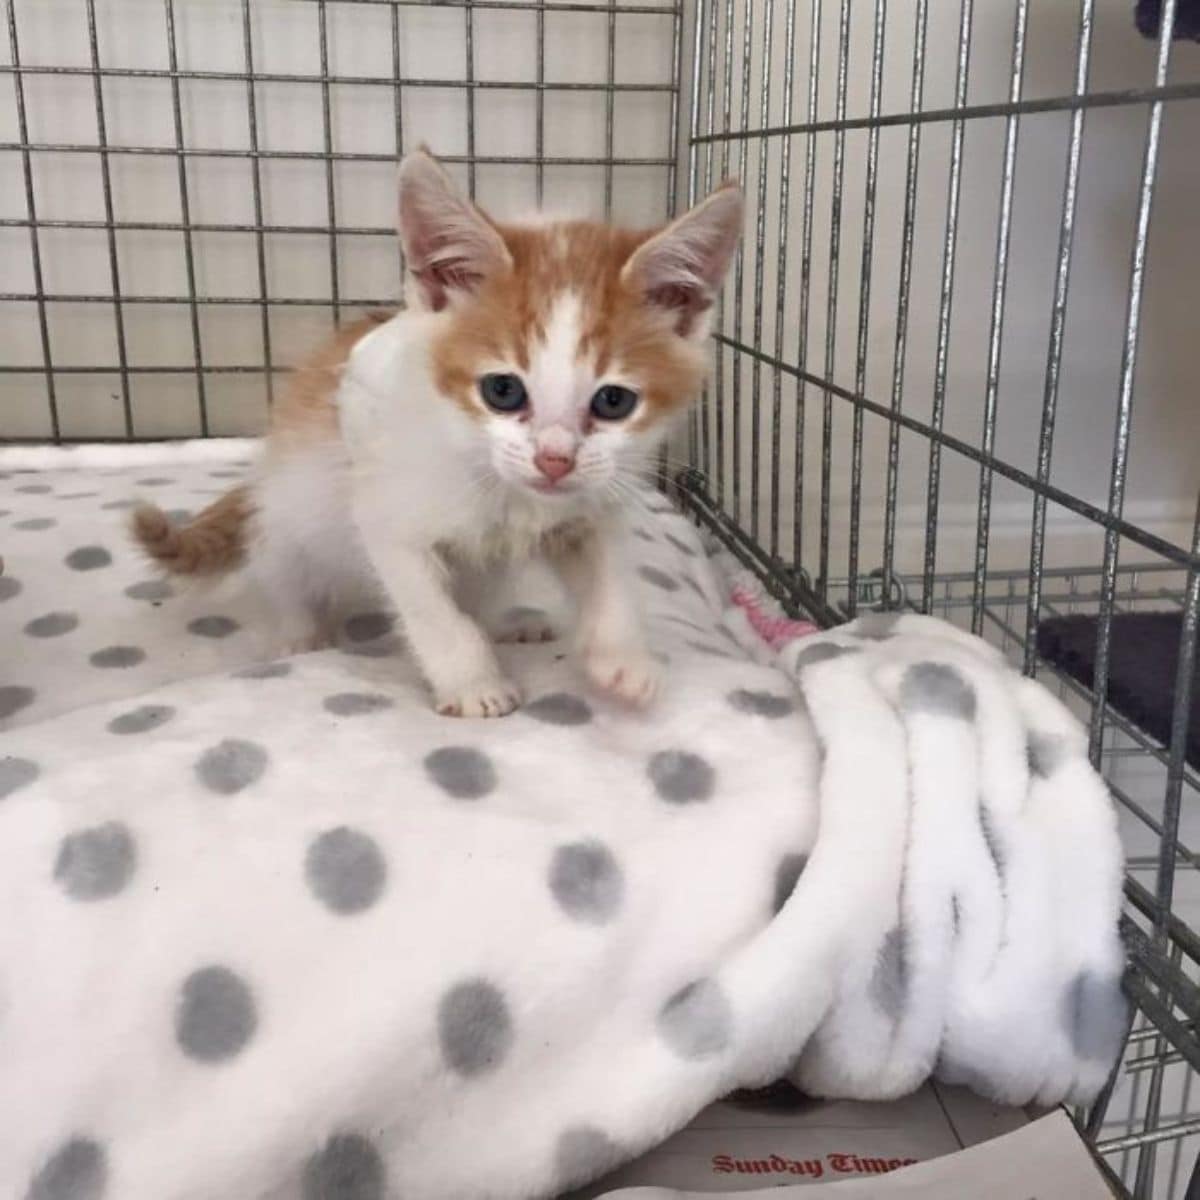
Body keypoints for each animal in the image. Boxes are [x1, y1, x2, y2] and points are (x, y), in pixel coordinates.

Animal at [131, 147, 739, 710]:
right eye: (502, 391)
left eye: (614, 401)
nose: (554, 459)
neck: (508, 492)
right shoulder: (387, 514)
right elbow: (435, 613)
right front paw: (474, 684)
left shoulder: (586, 507)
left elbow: (610, 579)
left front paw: (623, 660)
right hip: (290, 518)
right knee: (282, 569)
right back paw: (299, 632)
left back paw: (509, 623)